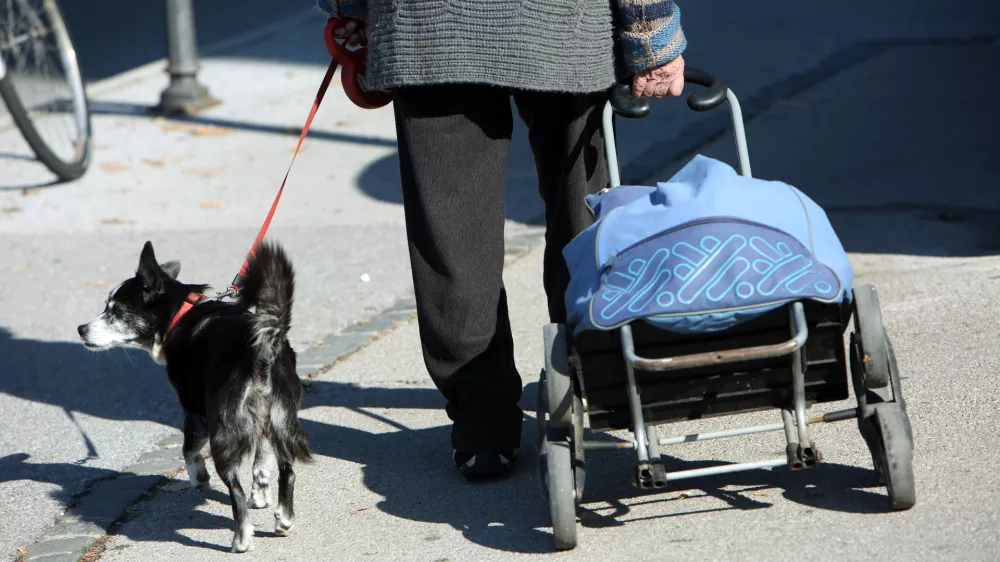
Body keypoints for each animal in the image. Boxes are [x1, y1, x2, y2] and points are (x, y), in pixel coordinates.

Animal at [77, 238, 310, 548]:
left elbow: (188, 449)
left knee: (235, 489)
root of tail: (262, 349)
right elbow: (261, 458)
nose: (81, 329)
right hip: (282, 417)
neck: (180, 315)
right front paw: (260, 494)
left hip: (223, 428)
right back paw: (283, 519)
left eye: (115, 311)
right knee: (288, 470)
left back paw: (241, 538)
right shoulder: (260, 419)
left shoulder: (194, 411)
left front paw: (198, 477)